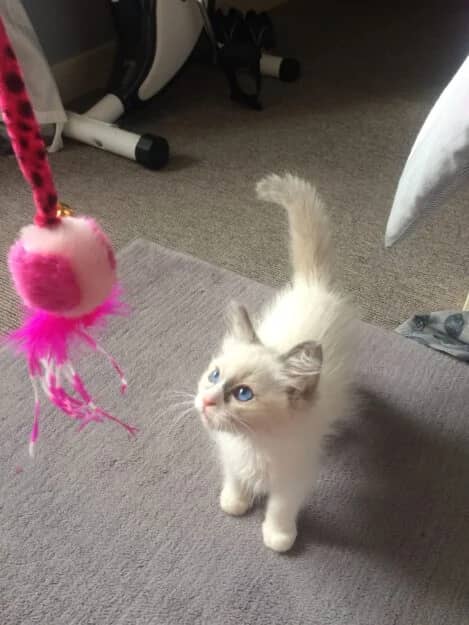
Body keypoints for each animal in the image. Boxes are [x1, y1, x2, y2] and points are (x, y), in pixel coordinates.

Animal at [194, 173, 355, 552]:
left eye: (243, 394)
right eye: (214, 376)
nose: (206, 401)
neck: (253, 444)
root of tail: (312, 285)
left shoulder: (293, 477)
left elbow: (281, 508)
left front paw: (279, 536)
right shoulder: (229, 454)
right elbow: (234, 481)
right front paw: (236, 501)